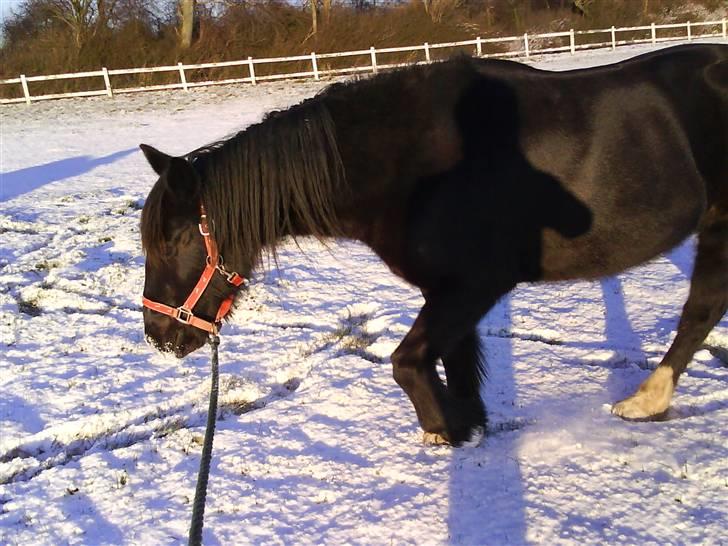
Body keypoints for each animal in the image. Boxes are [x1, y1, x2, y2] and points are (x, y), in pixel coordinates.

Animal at [140, 43, 727, 446]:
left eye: (172, 240)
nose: (159, 335)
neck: (412, 164)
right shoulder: (446, 291)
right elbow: (455, 364)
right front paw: (468, 427)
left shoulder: (476, 284)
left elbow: (407, 363)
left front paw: (445, 430)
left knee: (700, 308)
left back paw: (646, 401)